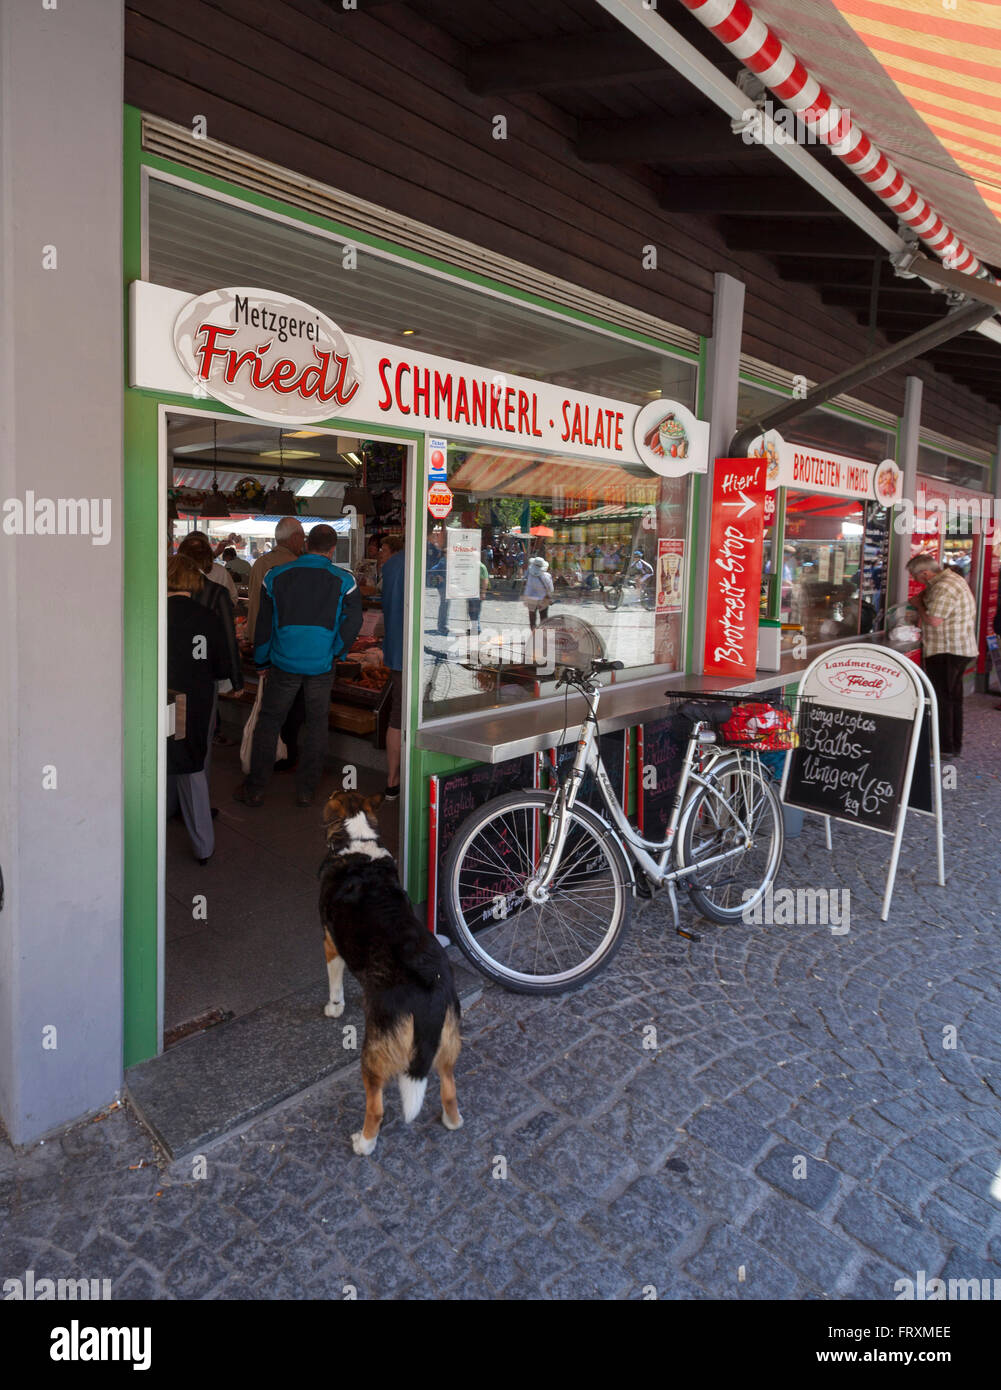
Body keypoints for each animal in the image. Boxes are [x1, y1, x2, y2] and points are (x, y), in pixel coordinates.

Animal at [318, 789, 464, 1156]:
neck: (357, 842)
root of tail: (429, 991)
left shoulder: (330, 943)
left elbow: (335, 984)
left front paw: (334, 1008)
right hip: (447, 1043)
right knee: (449, 1088)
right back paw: (451, 1121)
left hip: (374, 1052)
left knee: (377, 1108)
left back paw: (364, 1143)